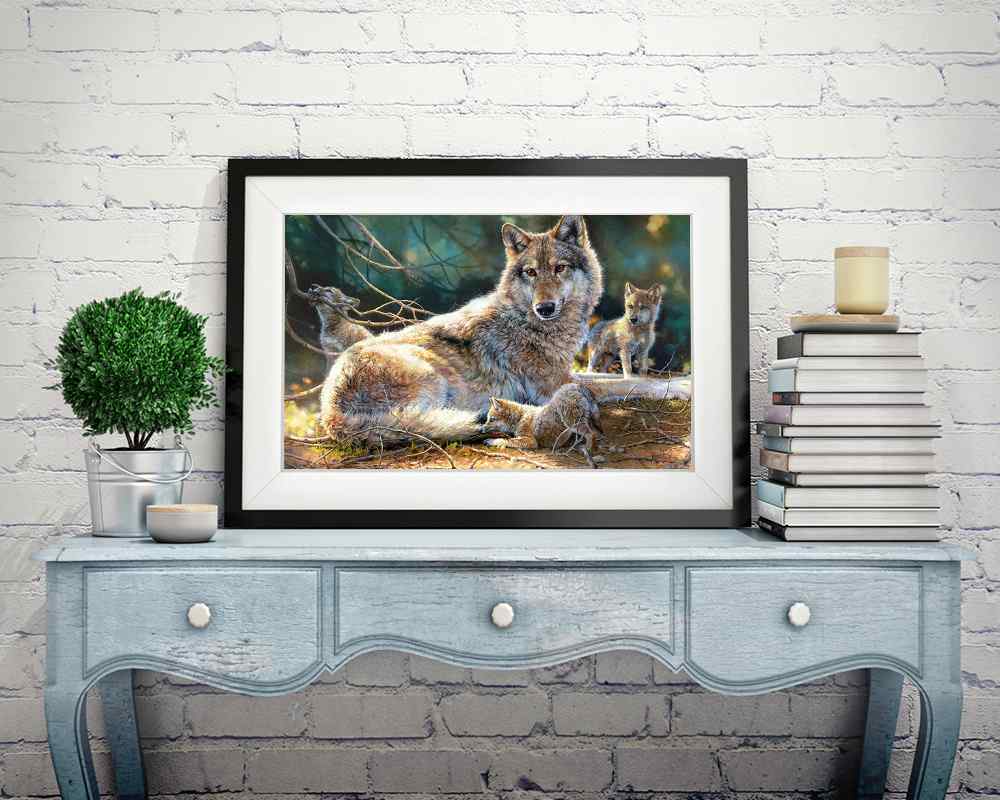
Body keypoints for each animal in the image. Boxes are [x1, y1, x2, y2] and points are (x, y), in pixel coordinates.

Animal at [320, 215, 604, 445]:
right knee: (420, 424)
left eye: (560, 268)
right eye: (531, 272)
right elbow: (603, 388)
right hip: (431, 377)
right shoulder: (553, 384)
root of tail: (328, 409)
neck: (529, 322)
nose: (544, 308)